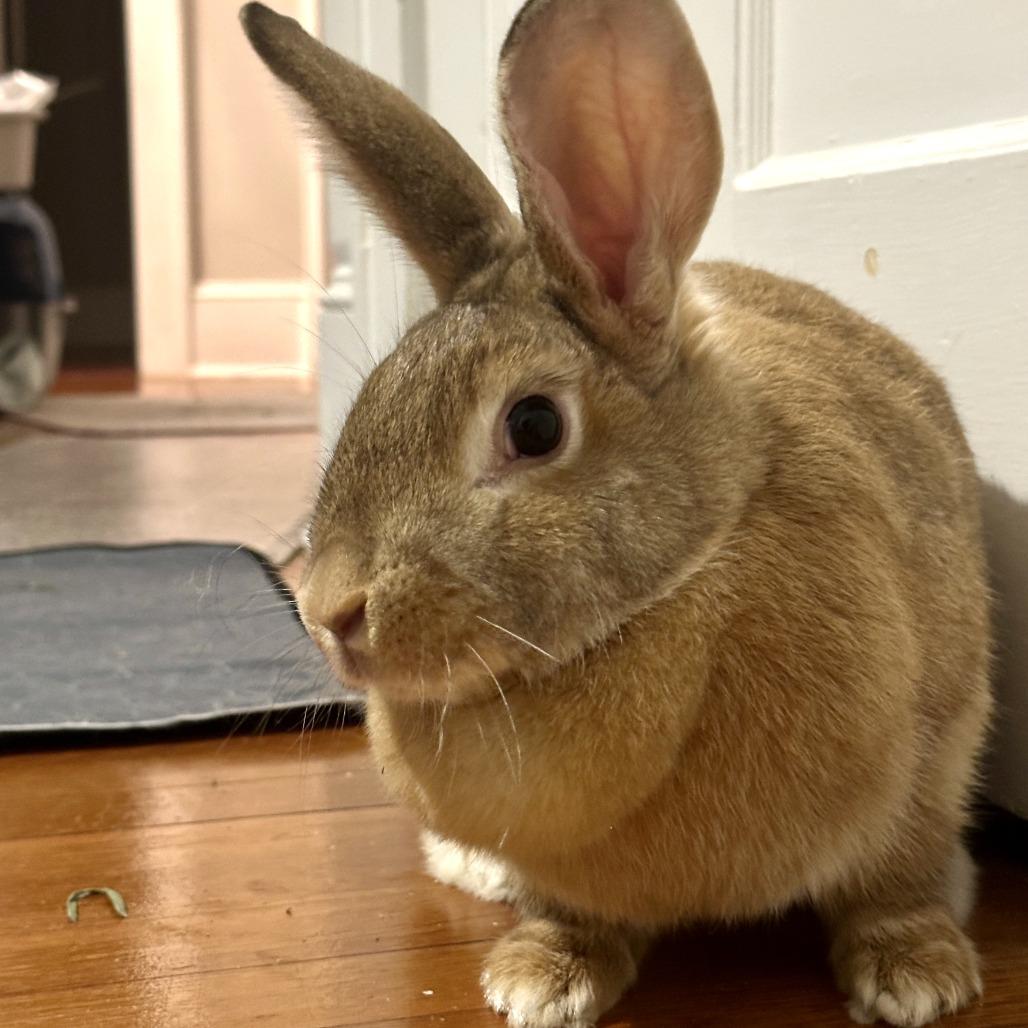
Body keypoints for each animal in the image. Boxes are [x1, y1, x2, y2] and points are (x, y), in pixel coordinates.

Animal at [241, 2, 993, 1025]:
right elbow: (575, 914)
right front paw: (540, 980)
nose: (330, 612)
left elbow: (895, 880)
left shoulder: (929, 753)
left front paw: (918, 977)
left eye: (533, 426)